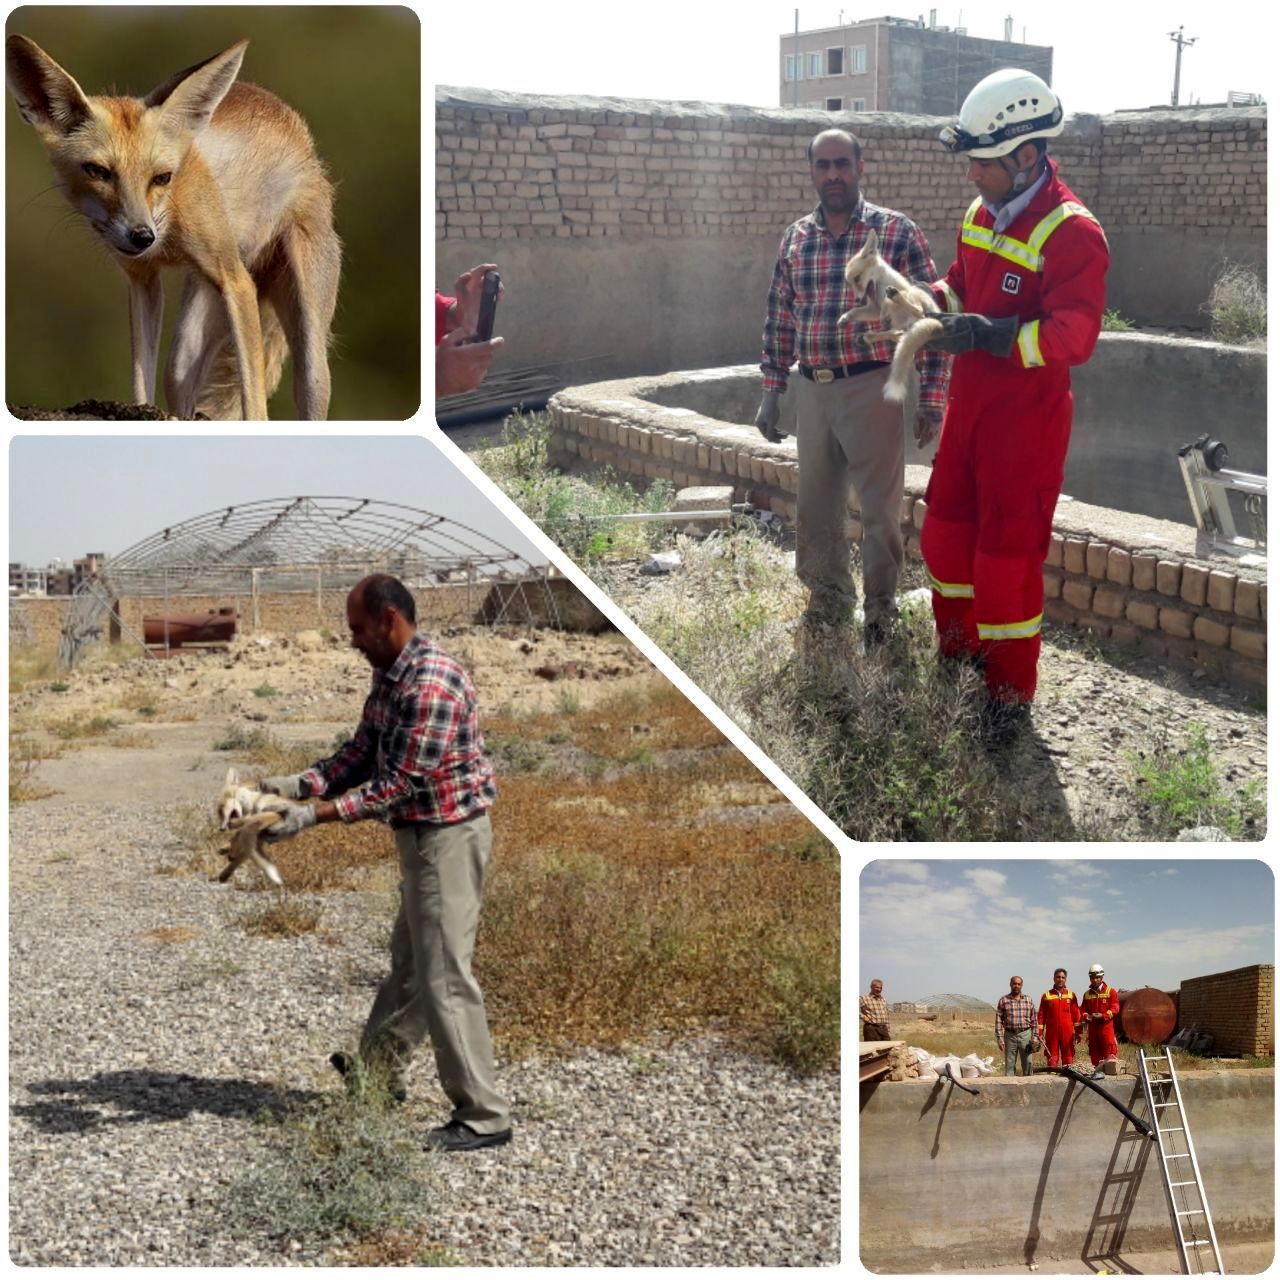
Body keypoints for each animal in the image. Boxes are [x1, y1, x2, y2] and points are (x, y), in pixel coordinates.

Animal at [3, 35, 340, 419]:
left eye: (162, 177)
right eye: (98, 172)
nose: (142, 237)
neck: (169, 226)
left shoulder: (236, 282)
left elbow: (254, 402)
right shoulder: (142, 280)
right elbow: (140, 380)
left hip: (308, 351)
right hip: (191, 335)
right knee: (178, 376)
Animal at [834, 227, 947, 407]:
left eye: (857, 278)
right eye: (850, 283)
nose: (857, 300)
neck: (878, 286)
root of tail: (935, 322)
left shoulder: (886, 299)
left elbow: (886, 304)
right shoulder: (873, 308)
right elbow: (855, 312)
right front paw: (844, 318)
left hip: (915, 295)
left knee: (917, 310)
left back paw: (895, 297)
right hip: (901, 327)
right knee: (895, 334)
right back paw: (868, 337)